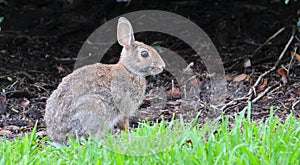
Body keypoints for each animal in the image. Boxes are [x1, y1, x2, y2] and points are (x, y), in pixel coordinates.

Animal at [44, 16, 166, 144]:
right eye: (144, 54)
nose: (162, 66)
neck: (129, 70)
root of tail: (58, 138)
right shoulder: (124, 109)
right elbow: (124, 126)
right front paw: (129, 138)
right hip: (94, 108)